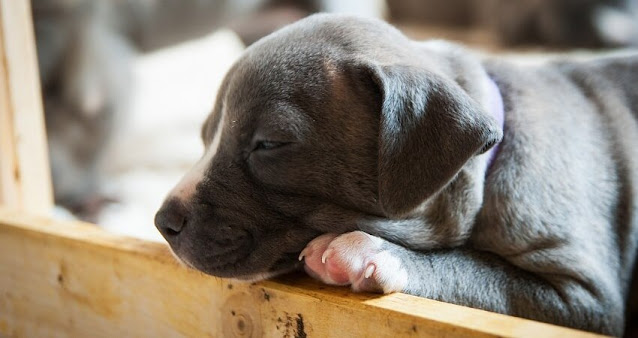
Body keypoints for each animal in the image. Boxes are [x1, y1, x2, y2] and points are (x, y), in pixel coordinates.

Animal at [155, 13, 638, 336]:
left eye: (269, 144)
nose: (162, 223)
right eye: (204, 135)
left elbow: (483, 274)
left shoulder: (586, 298)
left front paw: (367, 253)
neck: (489, 167)